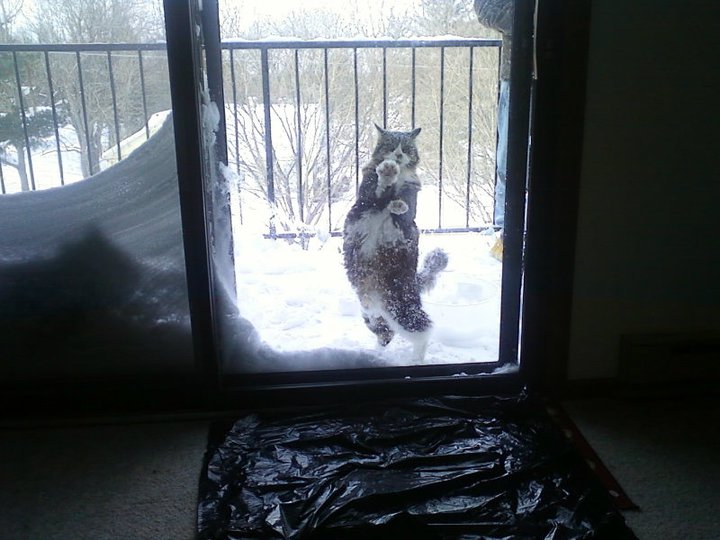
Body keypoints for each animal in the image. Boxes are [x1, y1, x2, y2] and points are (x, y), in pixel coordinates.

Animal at [342, 124, 448, 360]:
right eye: (391, 146)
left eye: (406, 148)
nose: (398, 155)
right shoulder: (365, 200)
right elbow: (379, 190)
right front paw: (387, 172)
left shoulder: (410, 204)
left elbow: (404, 206)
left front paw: (397, 204)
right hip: (375, 317)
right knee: (386, 335)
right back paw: (376, 356)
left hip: (400, 308)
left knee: (423, 332)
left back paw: (415, 360)